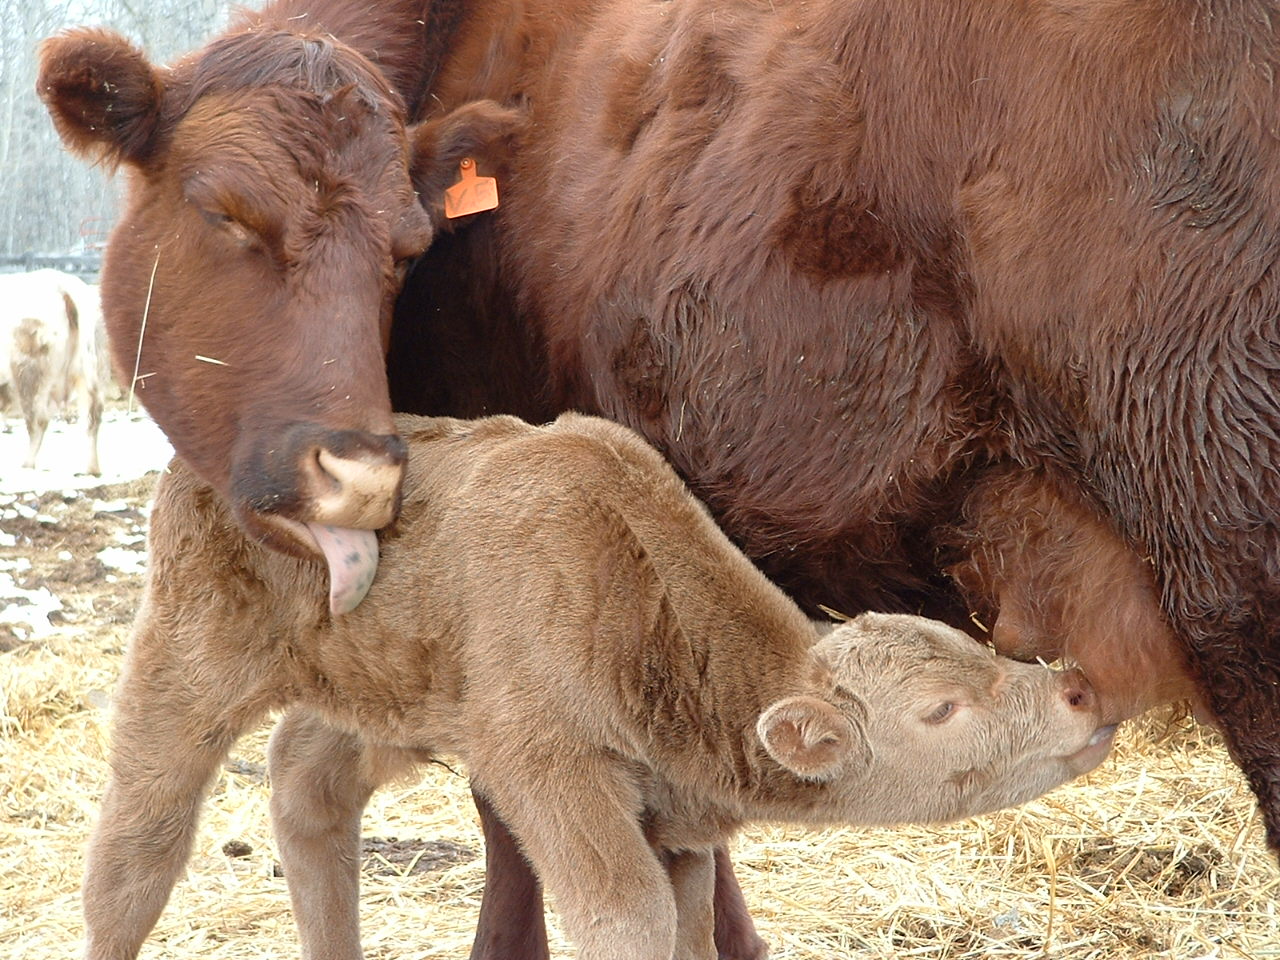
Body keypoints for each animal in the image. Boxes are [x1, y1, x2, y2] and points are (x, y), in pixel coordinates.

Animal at [0, 268, 105, 476]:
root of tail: (64, 287)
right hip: (88, 369)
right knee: (92, 415)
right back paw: (91, 468)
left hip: (29, 373)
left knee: (38, 421)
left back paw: (26, 465)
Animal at [84, 411, 1115, 960]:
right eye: (938, 710)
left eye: (972, 650)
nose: (1079, 691)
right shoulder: (550, 769)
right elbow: (628, 917)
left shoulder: (677, 827)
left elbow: (693, 928)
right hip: (189, 657)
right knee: (138, 841)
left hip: (386, 691)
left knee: (306, 780)